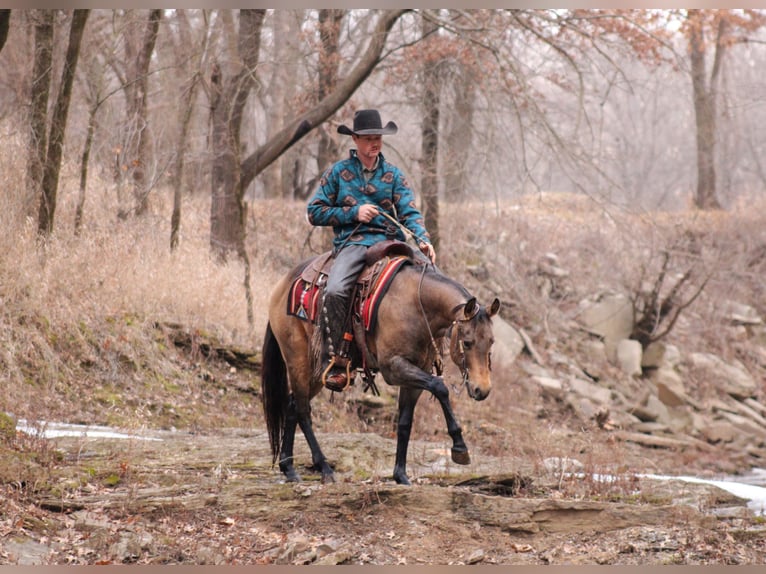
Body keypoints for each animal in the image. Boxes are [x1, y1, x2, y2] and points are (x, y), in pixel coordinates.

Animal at [260, 241, 500, 488]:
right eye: (467, 342)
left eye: (491, 341)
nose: (482, 390)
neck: (416, 304)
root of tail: (282, 286)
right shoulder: (393, 367)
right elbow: (440, 387)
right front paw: (459, 447)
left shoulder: (416, 373)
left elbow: (405, 422)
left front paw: (401, 475)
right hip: (297, 359)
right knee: (303, 410)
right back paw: (325, 468)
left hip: (317, 371)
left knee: (292, 405)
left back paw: (289, 469)